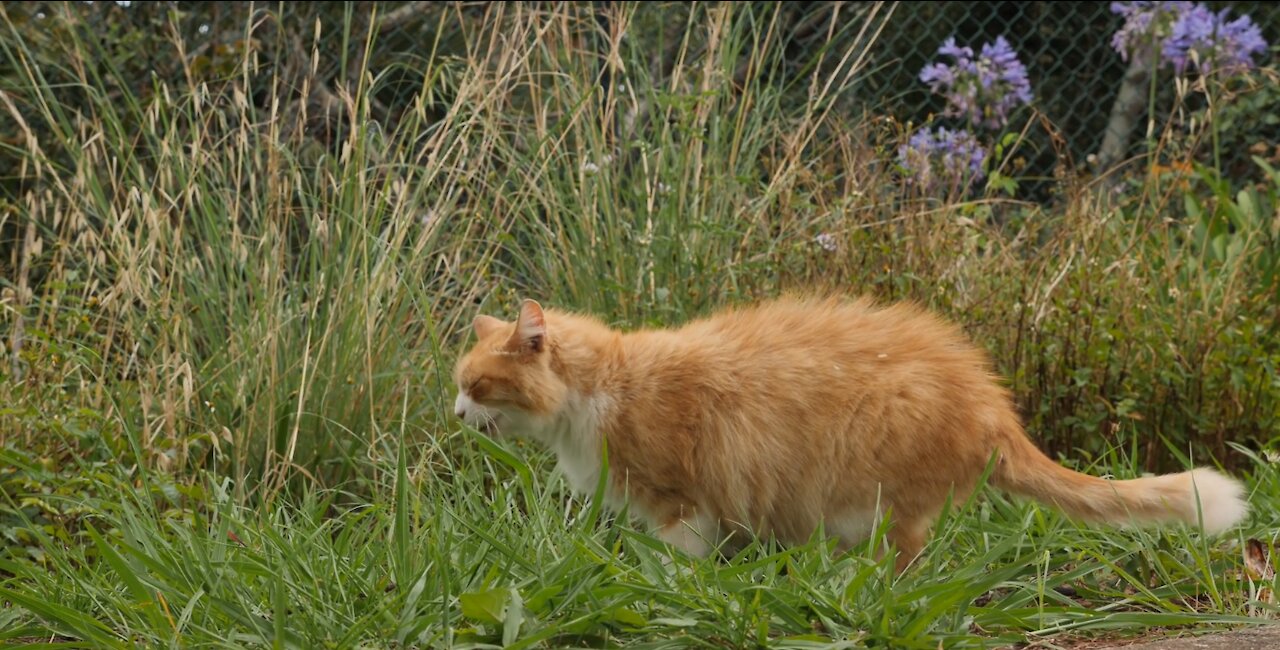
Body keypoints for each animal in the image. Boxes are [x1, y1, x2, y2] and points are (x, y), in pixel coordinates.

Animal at [453, 293, 1249, 568]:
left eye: (475, 386)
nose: (455, 414)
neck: (603, 389)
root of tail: (994, 405)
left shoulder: (680, 503)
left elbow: (677, 560)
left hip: (870, 495)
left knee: (904, 563)